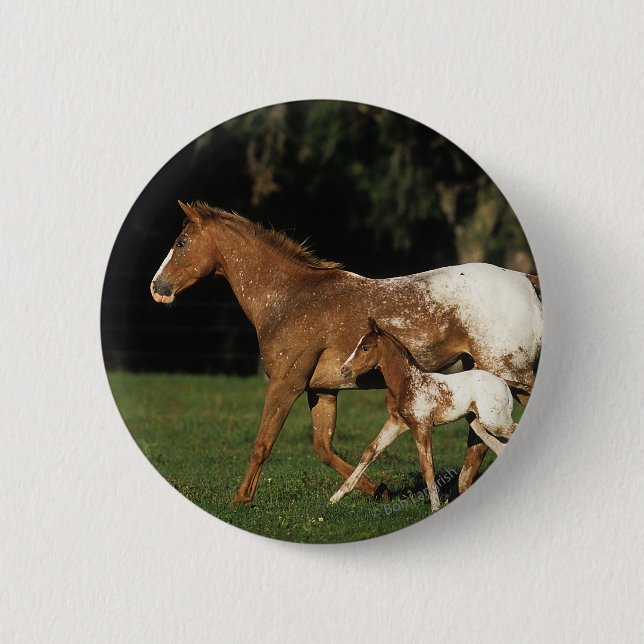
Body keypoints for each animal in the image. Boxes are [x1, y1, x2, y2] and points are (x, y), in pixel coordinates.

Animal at [330, 318, 517, 511]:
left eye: (365, 347)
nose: (343, 369)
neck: (408, 382)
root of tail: (503, 383)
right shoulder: (396, 423)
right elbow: (370, 452)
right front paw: (337, 496)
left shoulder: (422, 425)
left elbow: (427, 467)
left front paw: (435, 507)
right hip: (478, 424)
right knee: (498, 447)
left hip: (494, 421)